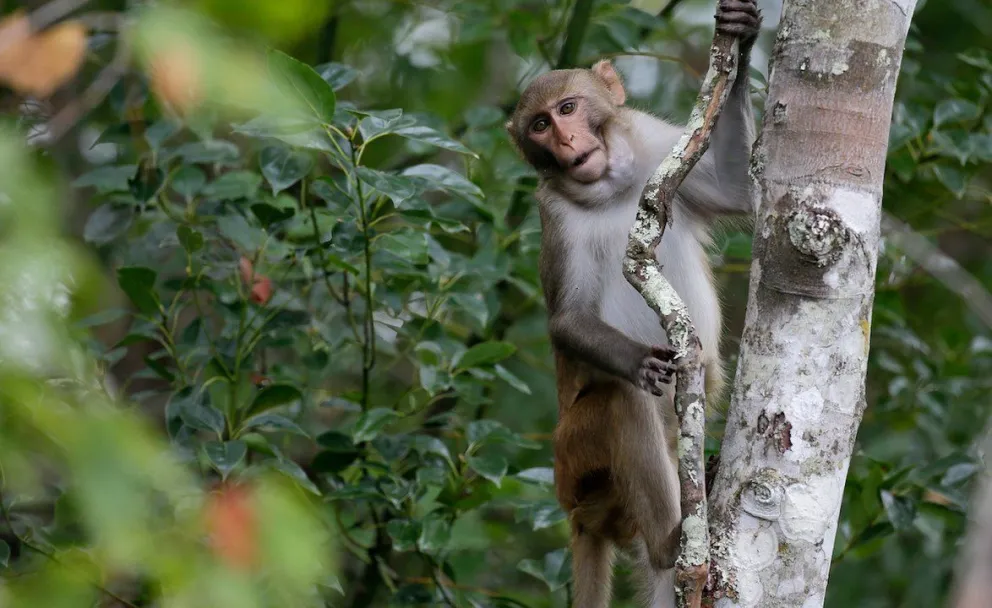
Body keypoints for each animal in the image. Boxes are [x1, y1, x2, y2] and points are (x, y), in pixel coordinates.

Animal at [505, 1, 761, 606]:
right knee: (621, 403)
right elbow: (569, 318)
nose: (567, 142)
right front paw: (639, 361)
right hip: (575, 460)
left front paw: (741, 42)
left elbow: (736, 189)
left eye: (568, 108)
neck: (610, 186)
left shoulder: (652, 139)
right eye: (540, 125)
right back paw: (670, 542)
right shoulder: (555, 215)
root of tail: (579, 514)